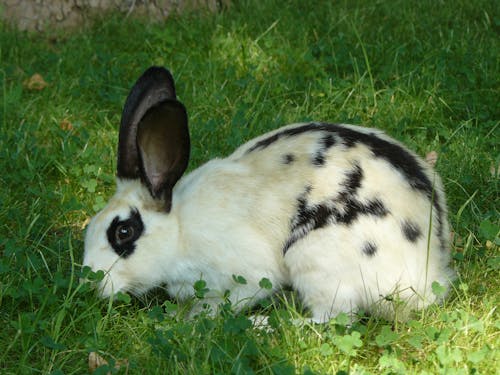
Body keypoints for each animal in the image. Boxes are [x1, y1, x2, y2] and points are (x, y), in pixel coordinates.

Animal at [84, 65, 456, 324]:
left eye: (123, 231)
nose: (92, 283)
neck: (179, 230)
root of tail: (428, 274)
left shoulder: (247, 274)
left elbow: (234, 298)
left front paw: (195, 318)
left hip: (315, 261)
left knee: (331, 319)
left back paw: (265, 324)